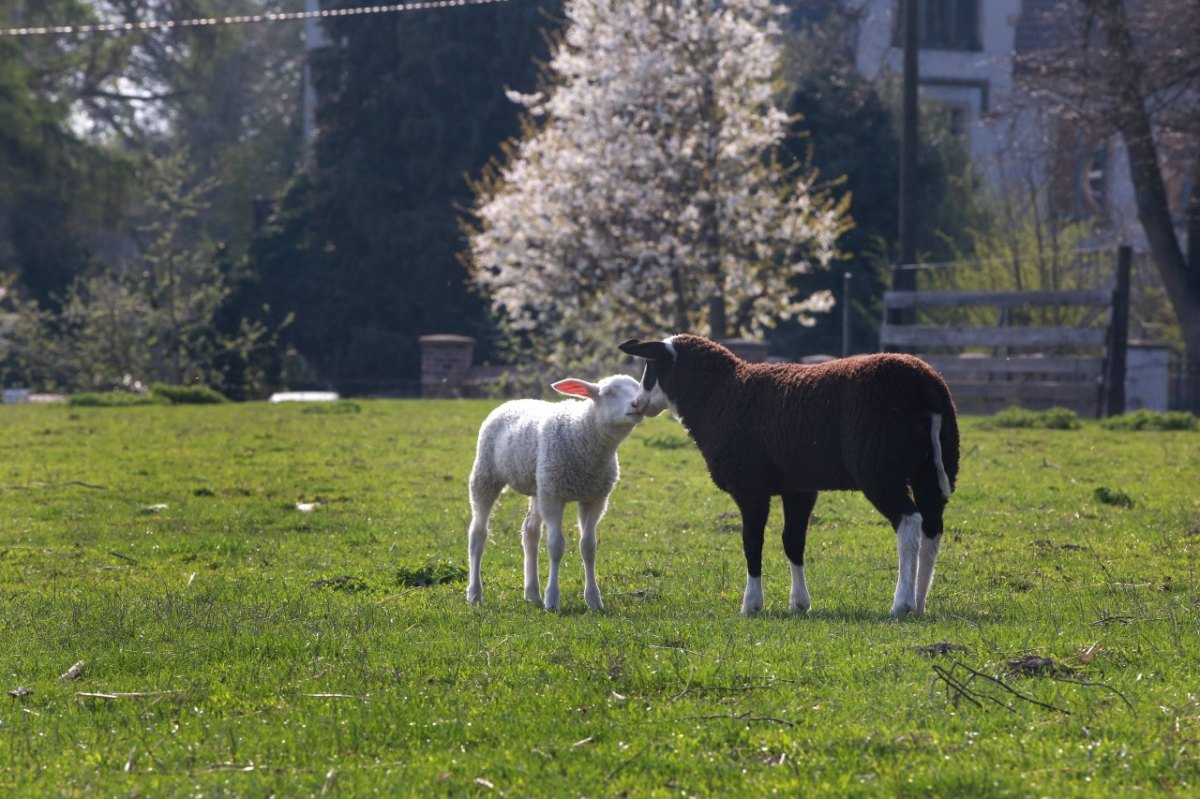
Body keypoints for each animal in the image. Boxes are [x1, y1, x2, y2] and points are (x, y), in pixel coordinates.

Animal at [463, 374, 648, 609]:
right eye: (607, 393)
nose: (637, 405)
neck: (582, 434)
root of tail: (513, 401)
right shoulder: (554, 495)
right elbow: (555, 546)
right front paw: (552, 599)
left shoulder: (595, 498)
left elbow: (588, 547)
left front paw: (594, 599)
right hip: (486, 474)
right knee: (478, 534)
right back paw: (475, 593)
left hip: (539, 484)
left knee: (530, 534)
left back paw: (532, 593)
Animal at [619, 333, 955, 611]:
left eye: (651, 370)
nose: (636, 403)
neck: (720, 395)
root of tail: (925, 384)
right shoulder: (799, 487)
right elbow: (793, 540)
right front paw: (799, 603)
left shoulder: (750, 486)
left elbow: (752, 541)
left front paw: (752, 604)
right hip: (933, 468)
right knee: (932, 528)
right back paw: (920, 601)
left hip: (879, 467)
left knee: (909, 523)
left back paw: (902, 603)